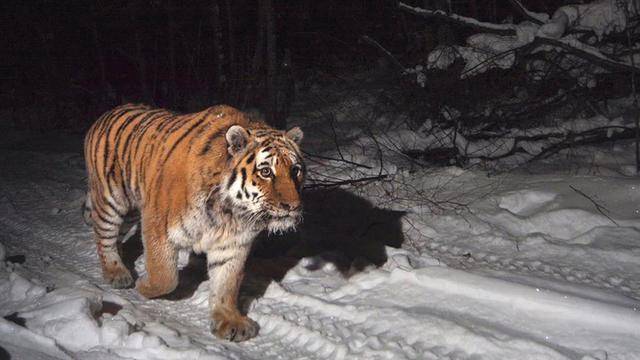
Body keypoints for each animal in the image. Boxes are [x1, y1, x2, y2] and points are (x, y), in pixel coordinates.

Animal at [83, 103, 304, 340]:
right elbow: (165, 276)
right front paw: (144, 286)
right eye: (266, 172)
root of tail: (107, 114)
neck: (230, 213)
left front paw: (229, 321)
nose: (292, 206)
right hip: (111, 200)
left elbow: (226, 285)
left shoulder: (232, 245)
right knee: (104, 236)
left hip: (132, 208)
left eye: (295, 170)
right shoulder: (158, 225)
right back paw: (117, 273)